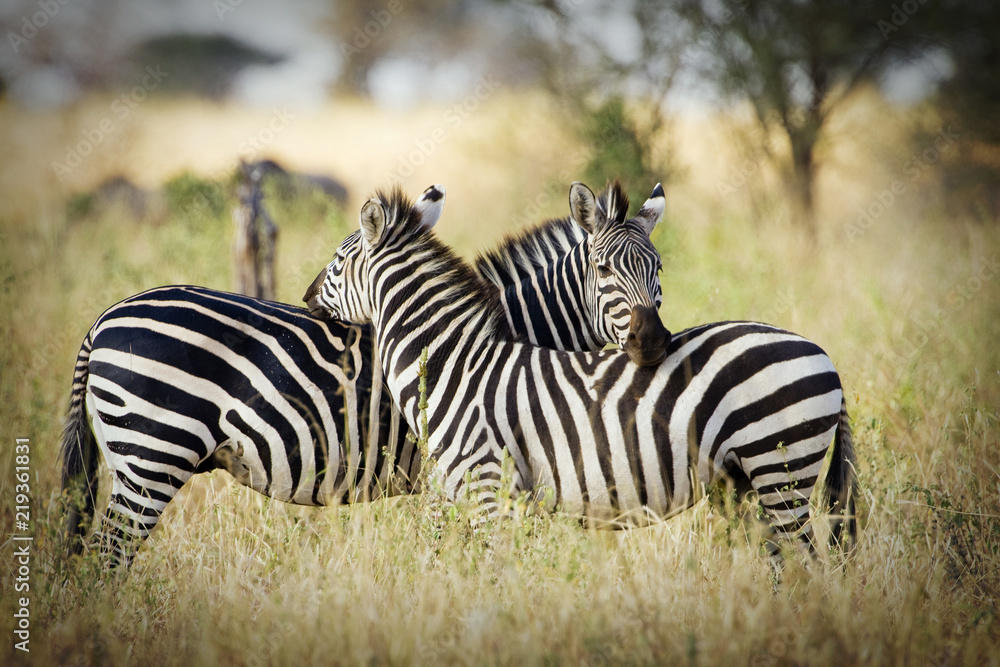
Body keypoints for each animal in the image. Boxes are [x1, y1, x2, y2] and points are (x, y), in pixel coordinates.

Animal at [60, 181, 669, 567]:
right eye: (604, 270)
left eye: (660, 269)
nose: (654, 343)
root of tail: (104, 318)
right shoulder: (459, 470)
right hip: (152, 455)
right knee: (107, 558)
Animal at [305, 185, 856, 556]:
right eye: (605, 269)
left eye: (336, 261)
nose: (307, 299)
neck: (454, 363)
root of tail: (821, 352)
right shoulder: (466, 493)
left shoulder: (488, 491)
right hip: (751, 482)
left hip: (781, 471)